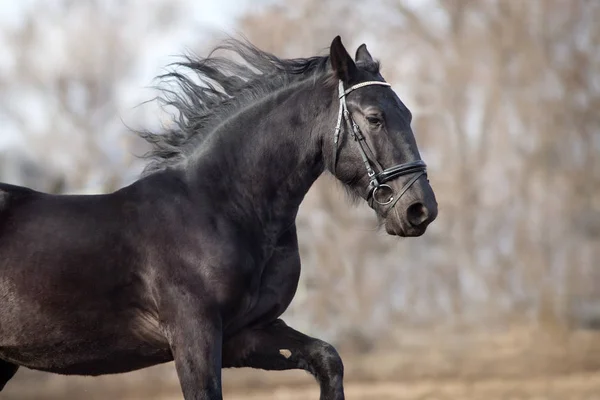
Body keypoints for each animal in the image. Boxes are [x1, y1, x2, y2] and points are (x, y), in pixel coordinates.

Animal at [2, 36, 438, 398]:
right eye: (374, 118)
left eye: (408, 114)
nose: (420, 210)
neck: (221, 209)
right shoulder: (194, 335)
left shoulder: (245, 335)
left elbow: (328, 358)